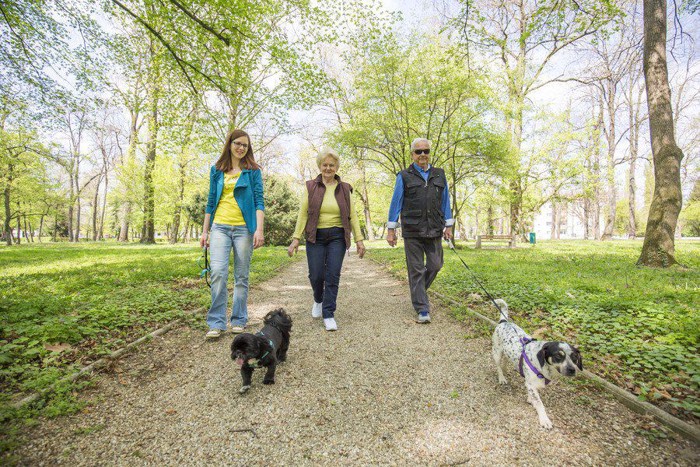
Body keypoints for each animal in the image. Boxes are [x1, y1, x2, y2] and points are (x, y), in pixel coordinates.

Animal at [492, 302, 584, 430]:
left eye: (574, 357)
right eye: (558, 356)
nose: (572, 370)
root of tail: (504, 321)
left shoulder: (532, 383)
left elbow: (533, 395)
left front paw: (531, 400)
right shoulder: (531, 383)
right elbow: (539, 403)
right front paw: (544, 419)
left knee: (505, 360)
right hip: (497, 353)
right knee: (498, 366)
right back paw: (502, 378)